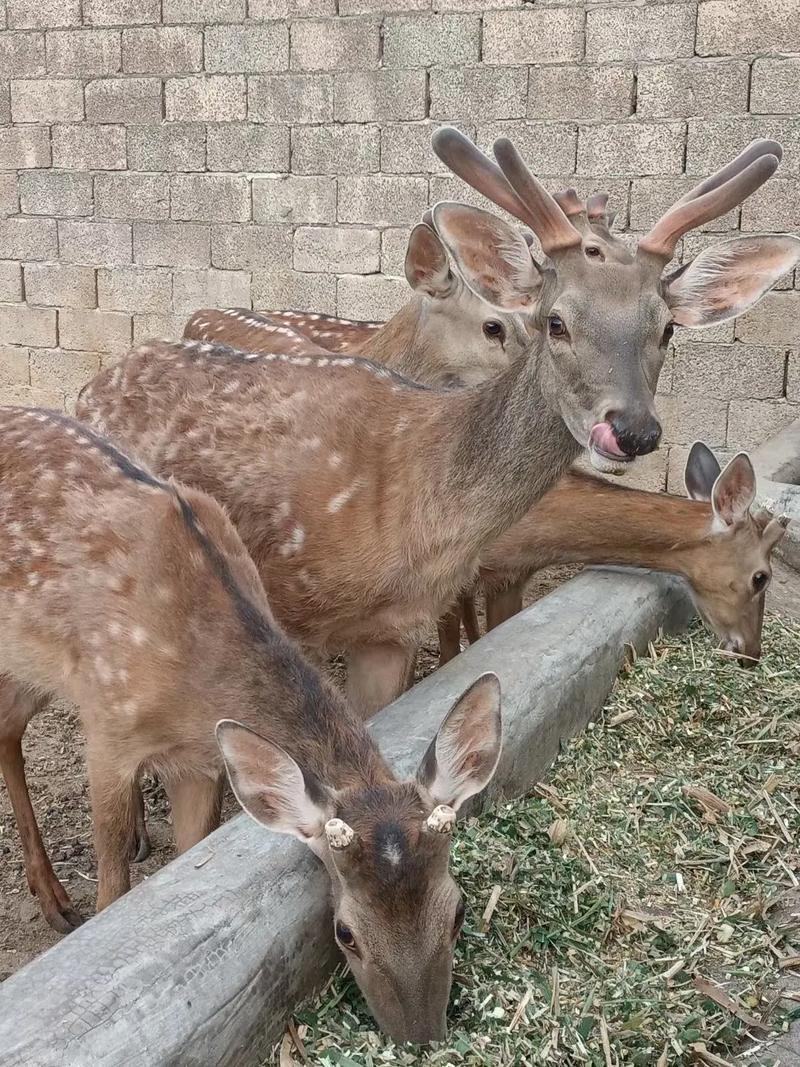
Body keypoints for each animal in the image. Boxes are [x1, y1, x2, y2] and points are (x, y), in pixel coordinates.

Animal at [0, 405, 502, 1043]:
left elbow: (189, 849)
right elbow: (113, 891)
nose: (421, 1037)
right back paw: (56, 901)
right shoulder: (108, 725)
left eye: (458, 910)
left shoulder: (195, 762)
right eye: (345, 933)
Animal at [76, 131, 796, 721]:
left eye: (667, 328)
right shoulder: (316, 610)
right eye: (555, 321)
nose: (633, 432)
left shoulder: (400, 626)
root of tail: (93, 383)